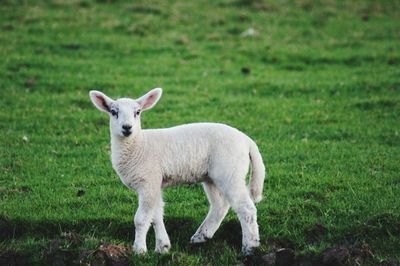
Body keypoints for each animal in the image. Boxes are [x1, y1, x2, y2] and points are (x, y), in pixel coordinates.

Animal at [89, 88, 268, 255]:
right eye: (113, 112)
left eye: (137, 112)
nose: (127, 128)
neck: (138, 145)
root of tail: (247, 141)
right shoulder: (154, 183)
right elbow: (156, 215)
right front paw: (162, 247)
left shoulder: (148, 181)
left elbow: (141, 219)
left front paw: (139, 250)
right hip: (212, 176)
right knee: (220, 205)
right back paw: (201, 236)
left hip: (230, 171)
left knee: (246, 208)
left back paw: (250, 247)